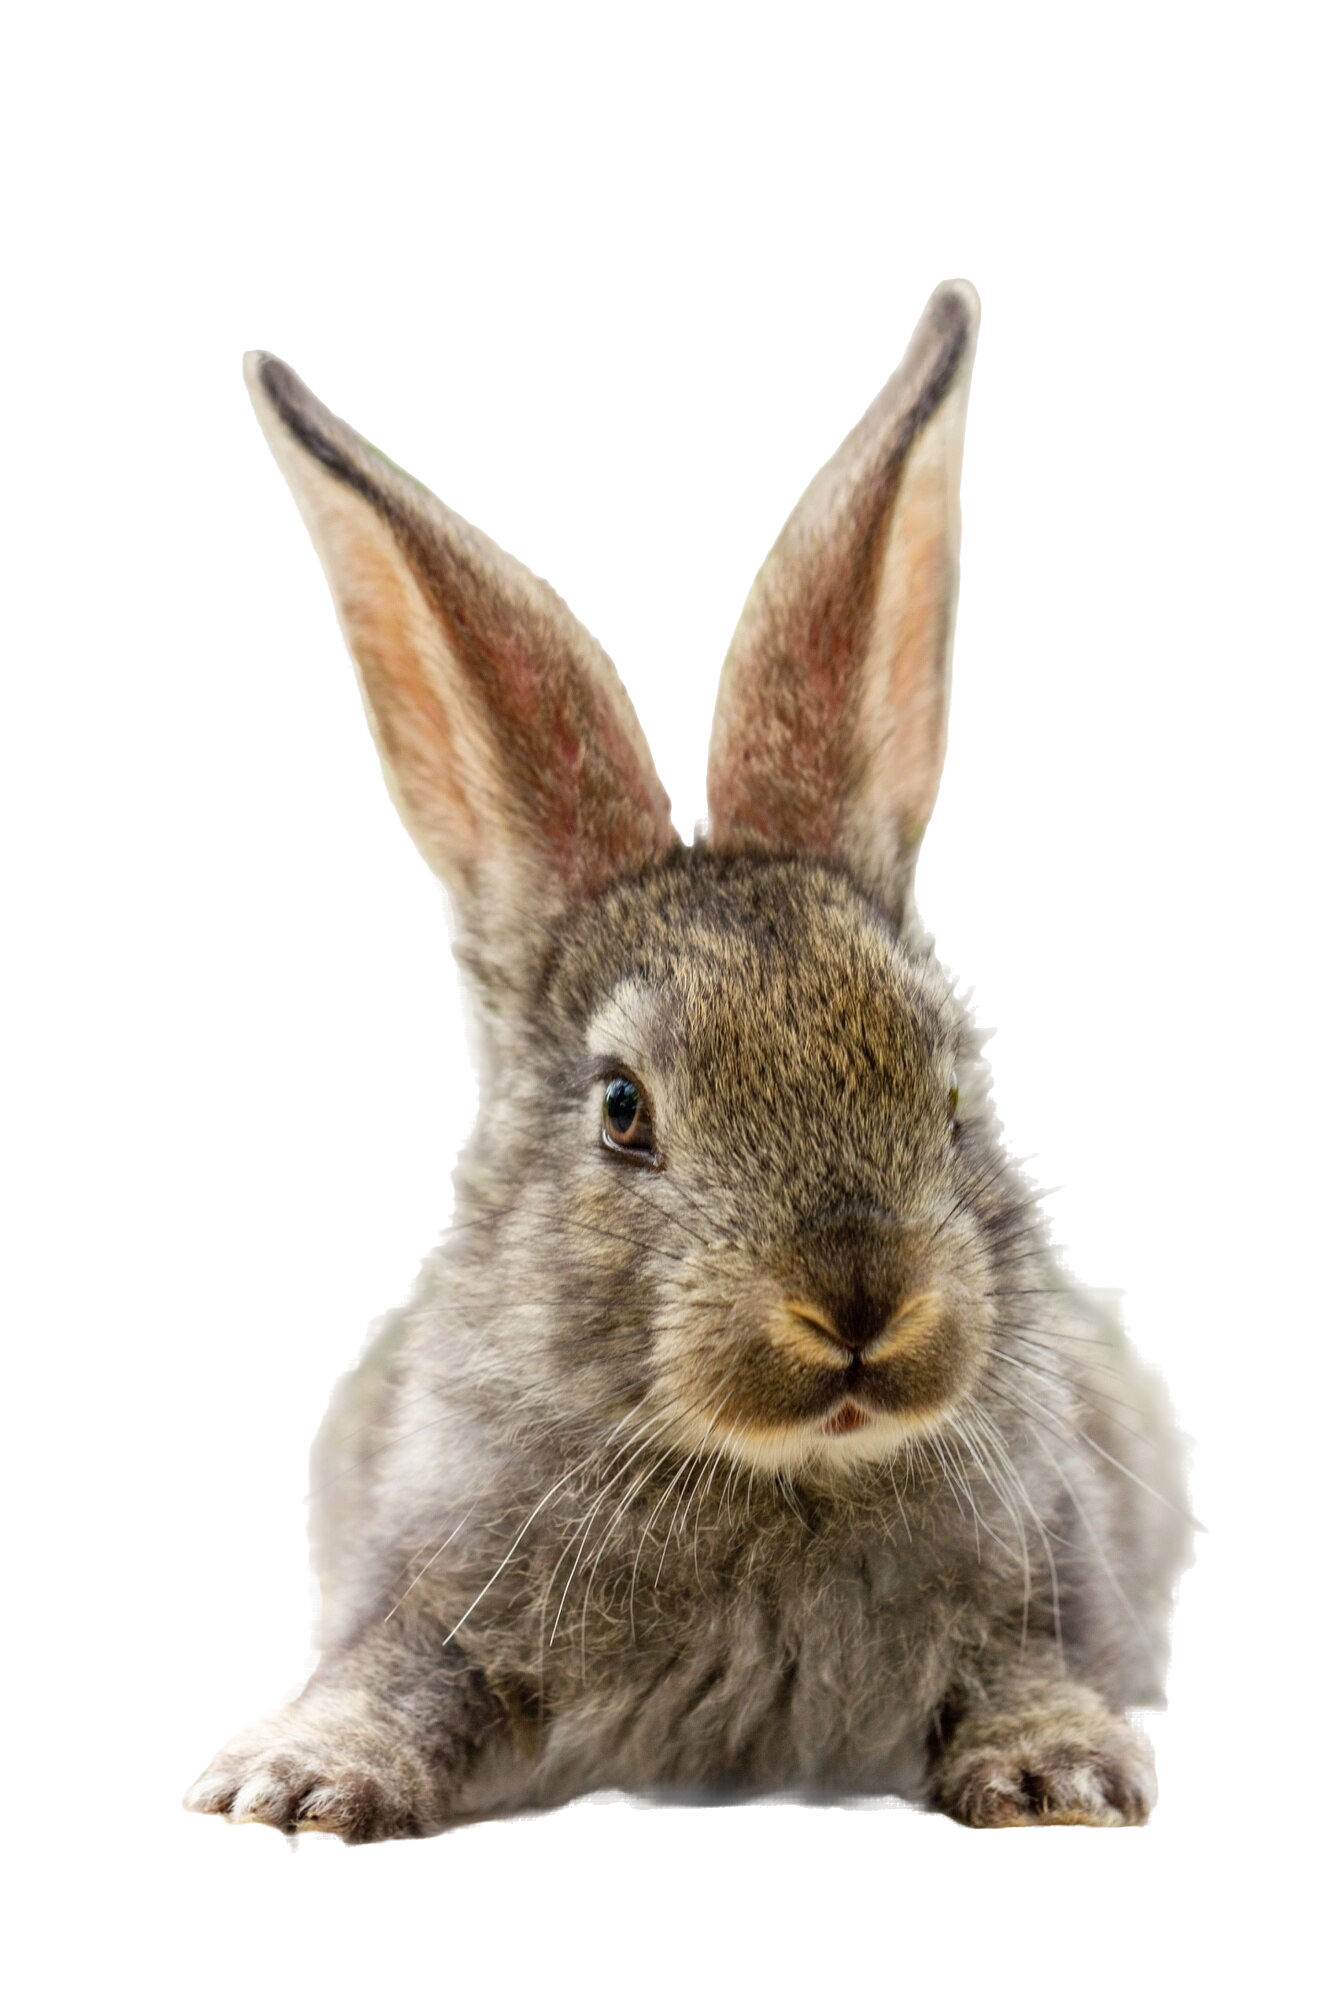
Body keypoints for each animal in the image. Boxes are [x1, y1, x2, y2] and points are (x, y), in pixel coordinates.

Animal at [190, 280, 1171, 1846]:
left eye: (952, 1089)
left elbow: (1028, 1662)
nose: (858, 1298)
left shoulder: (1048, 1573)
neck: (776, 1469)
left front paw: (1060, 1775)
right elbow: (395, 1675)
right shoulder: (434, 1583)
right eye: (621, 1109)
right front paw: (296, 1784)